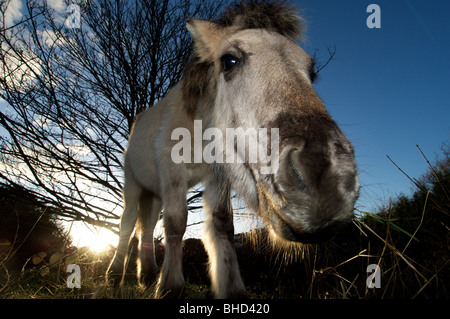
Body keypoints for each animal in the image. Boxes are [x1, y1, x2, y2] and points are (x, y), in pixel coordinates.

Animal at [105, 0, 358, 300]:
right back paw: (114, 276)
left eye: (312, 73)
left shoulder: (218, 176)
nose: (326, 180)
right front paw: (170, 287)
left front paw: (232, 289)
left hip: (153, 192)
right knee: (128, 222)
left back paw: (146, 275)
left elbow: (223, 226)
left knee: (146, 226)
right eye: (229, 61)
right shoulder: (172, 173)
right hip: (133, 184)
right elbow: (177, 223)